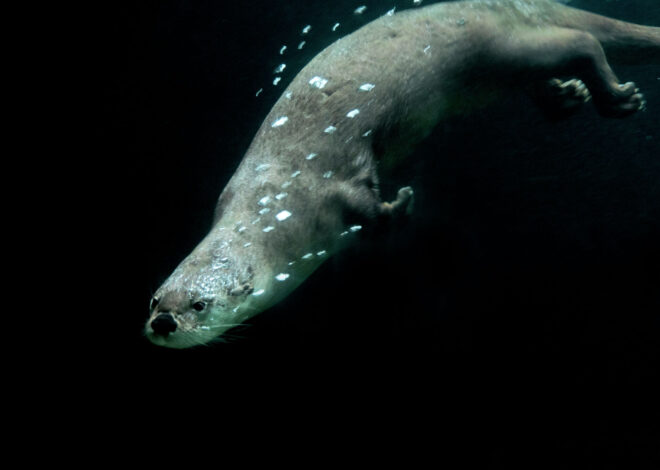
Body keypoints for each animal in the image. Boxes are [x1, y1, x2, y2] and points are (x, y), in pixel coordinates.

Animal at [146, 0, 660, 348]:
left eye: (200, 305)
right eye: (156, 300)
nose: (164, 323)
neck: (276, 203)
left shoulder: (331, 190)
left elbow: (373, 207)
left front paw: (405, 203)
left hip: (497, 44)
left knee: (581, 42)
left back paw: (618, 98)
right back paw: (567, 96)